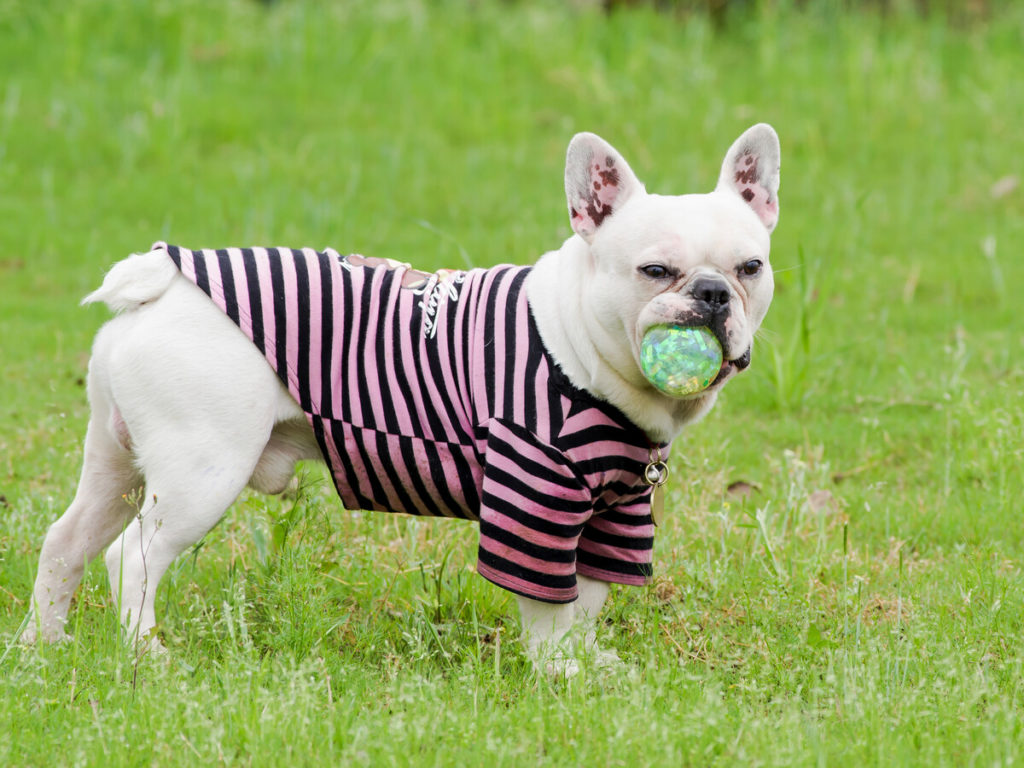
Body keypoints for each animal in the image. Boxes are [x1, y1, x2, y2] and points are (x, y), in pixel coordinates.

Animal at [25, 124, 774, 671]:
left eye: (751, 268)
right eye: (654, 270)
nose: (713, 293)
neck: (580, 337)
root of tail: (162, 284)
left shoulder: (612, 512)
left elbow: (585, 599)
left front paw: (587, 664)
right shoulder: (536, 500)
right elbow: (548, 602)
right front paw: (557, 672)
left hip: (116, 463)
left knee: (68, 541)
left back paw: (43, 646)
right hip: (201, 472)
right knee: (132, 558)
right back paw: (146, 658)